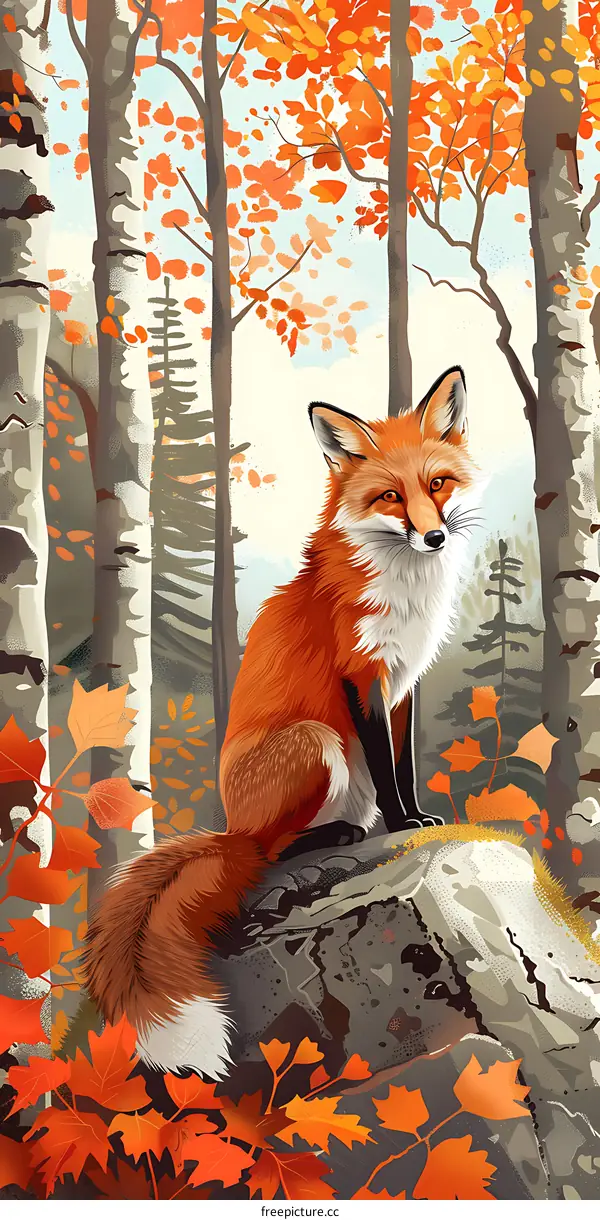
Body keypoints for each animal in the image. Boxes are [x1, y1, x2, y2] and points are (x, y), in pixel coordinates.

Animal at [84, 366, 481, 1080]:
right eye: (390, 496)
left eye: (437, 484)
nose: (434, 536)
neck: (405, 589)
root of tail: (229, 829)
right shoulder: (361, 675)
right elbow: (387, 772)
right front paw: (402, 826)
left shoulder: (403, 683)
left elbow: (403, 765)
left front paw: (419, 816)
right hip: (316, 744)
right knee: (269, 852)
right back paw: (336, 837)